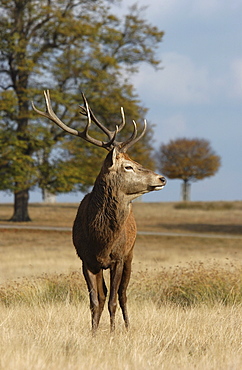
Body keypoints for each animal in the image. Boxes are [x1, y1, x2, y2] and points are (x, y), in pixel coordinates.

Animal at [32, 90, 166, 332]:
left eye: (134, 161)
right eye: (128, 166)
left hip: (131, 253)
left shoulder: (119, 258)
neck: (101, 240)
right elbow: (96, 300)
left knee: (123, 294)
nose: (162, 178)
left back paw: (127, 327)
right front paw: (94, 333)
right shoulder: (85, 259)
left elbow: (113, 299)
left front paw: (112, 333)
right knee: (105, 295)